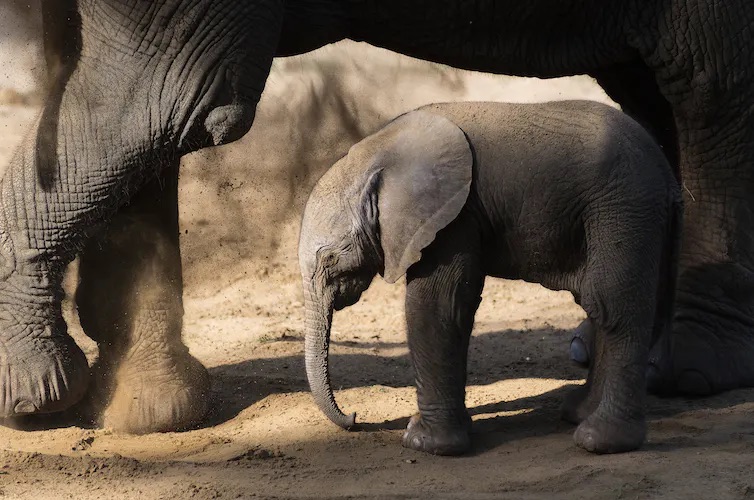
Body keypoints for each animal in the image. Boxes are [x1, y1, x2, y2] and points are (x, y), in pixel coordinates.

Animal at [298, 101, 682, 455]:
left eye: (329, 257)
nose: (354, 418)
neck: (380, 149)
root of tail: (667, 172)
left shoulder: (453, 216)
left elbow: (436, 305)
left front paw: (424, 443)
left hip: (624, 204)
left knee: (611, 304)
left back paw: (599, 440)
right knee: (602, 303)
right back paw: (578, 413)